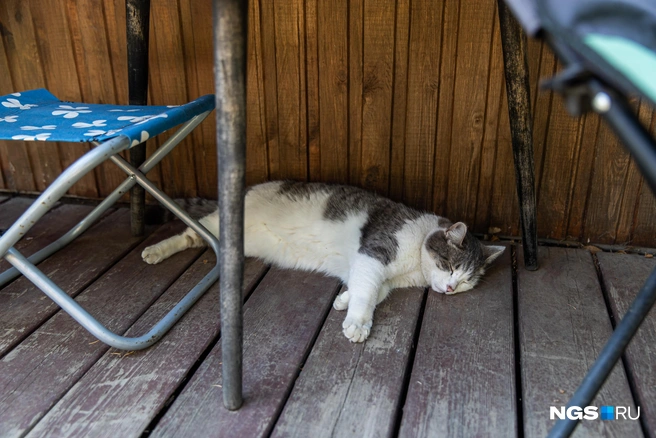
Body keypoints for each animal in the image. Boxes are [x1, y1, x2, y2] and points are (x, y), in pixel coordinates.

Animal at [141, 181, 504, 342]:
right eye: (450, 267)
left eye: (466, 282)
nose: (450, 289)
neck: (414, 264)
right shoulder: (374, 254)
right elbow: (367, 292)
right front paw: (357, 322)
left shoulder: (380, 275)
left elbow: (372, 291)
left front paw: (344, 300)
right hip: (219, 223)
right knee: (190, 233)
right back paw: (154, 251)